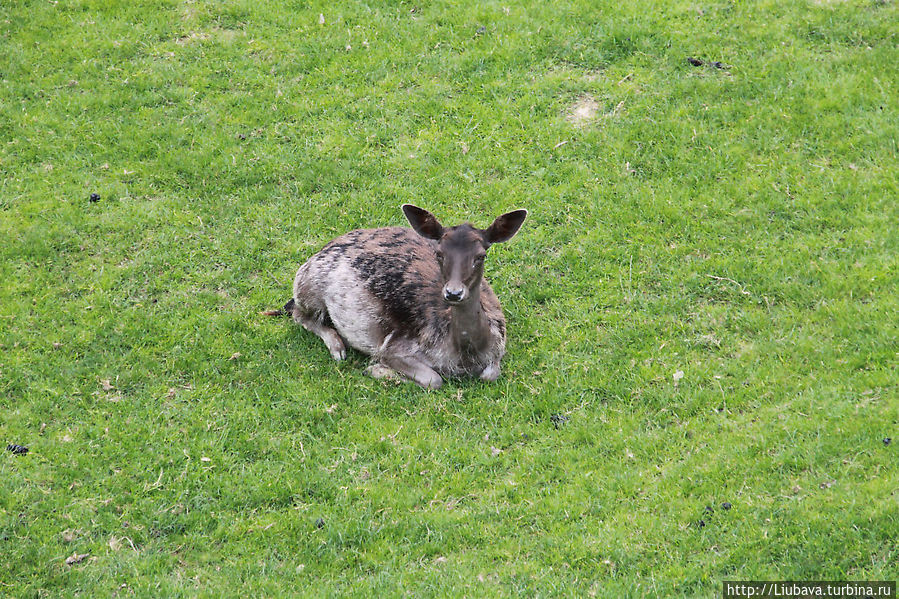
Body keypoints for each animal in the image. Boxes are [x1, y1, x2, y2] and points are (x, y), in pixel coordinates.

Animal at [264, 204, 528, 386]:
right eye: (439, 253)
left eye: (481, 255)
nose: (453, 293)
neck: (466, 357)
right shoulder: (395, 346)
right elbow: (434, 379)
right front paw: (377, 370)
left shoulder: (499, 347)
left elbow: (490, 374)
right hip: (308, 284)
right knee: (298, 313)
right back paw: (338, 348)